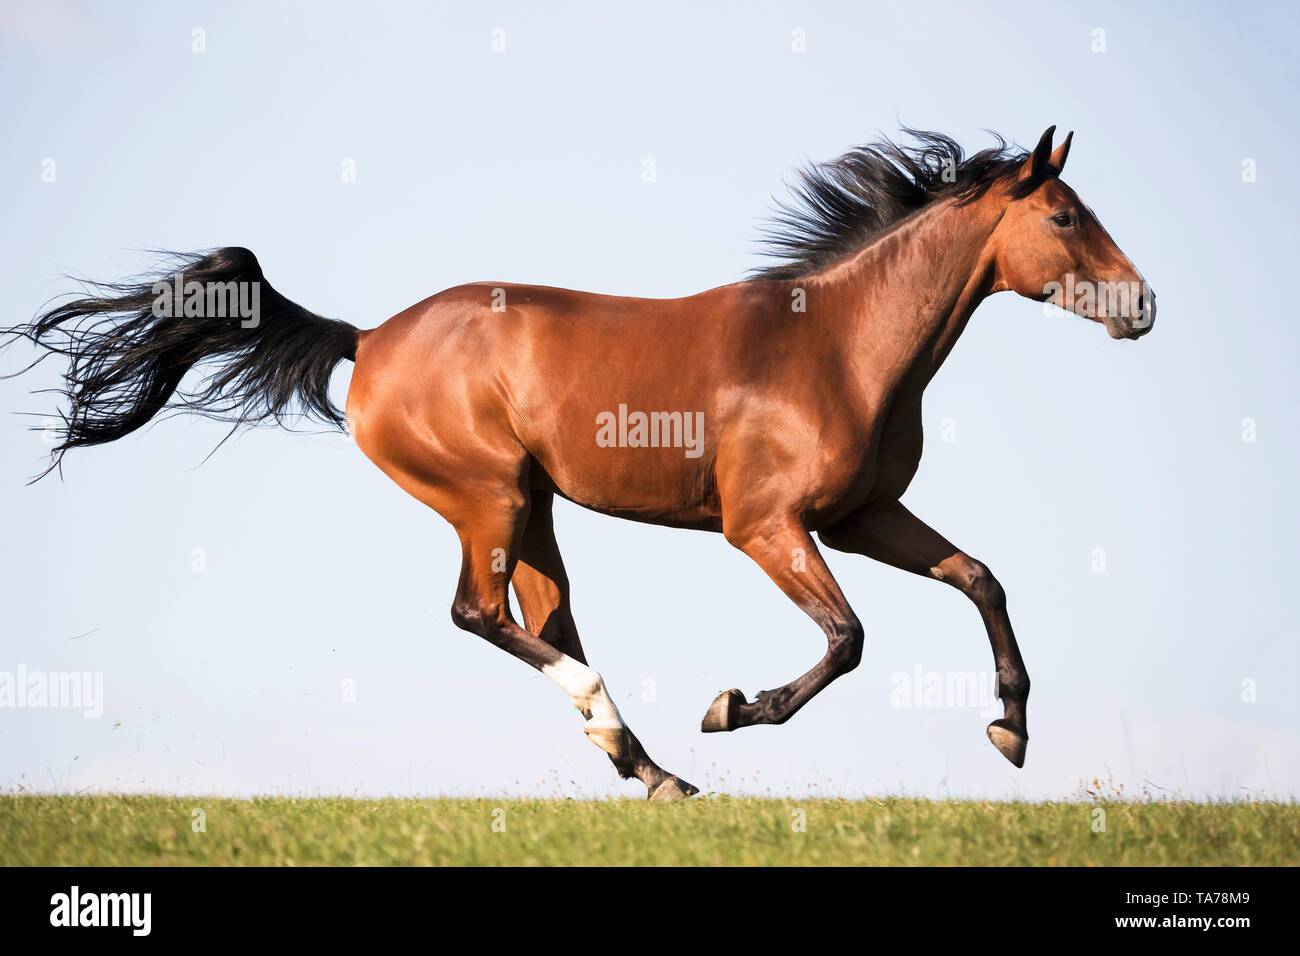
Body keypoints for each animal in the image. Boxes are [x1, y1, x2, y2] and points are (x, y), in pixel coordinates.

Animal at [7, 127, 1154, 801]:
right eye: (1064, 215)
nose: (1142, 305)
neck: (835, 346)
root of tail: (367, 339)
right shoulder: (768, 527)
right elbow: (848, 638)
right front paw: (731, 706)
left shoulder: (861, 518)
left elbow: (980, 578)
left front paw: (1009, 728)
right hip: (487, 495)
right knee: (484, 614)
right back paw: (630, 732)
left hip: (536, 507)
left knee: (545, 618)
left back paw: (655, 773)